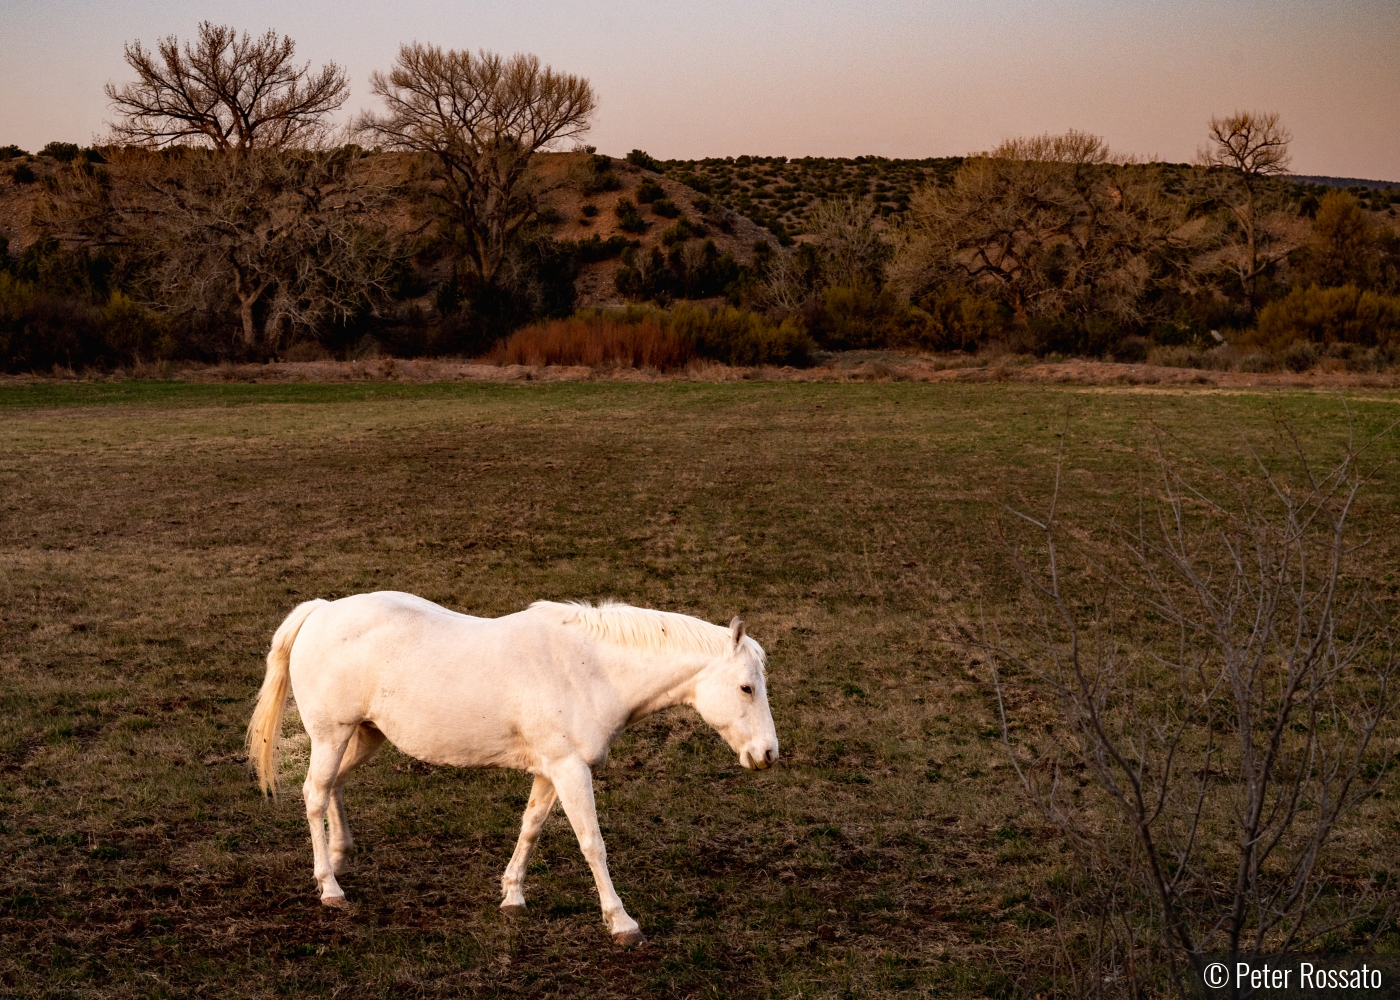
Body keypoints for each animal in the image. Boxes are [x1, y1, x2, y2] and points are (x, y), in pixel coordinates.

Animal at [250, 591, 778, 941]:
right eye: (747, 687)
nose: (769, 755)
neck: (589, 668)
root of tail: (321, 610)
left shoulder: (549, 771)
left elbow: (531, 828)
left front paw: (512, 896)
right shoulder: (570, 769)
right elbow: (592, 844)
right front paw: (620, 921)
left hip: (363, 735)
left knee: (331, 788)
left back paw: (339, 856)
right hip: (332, 734)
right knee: (314, 794)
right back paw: (330, 887)